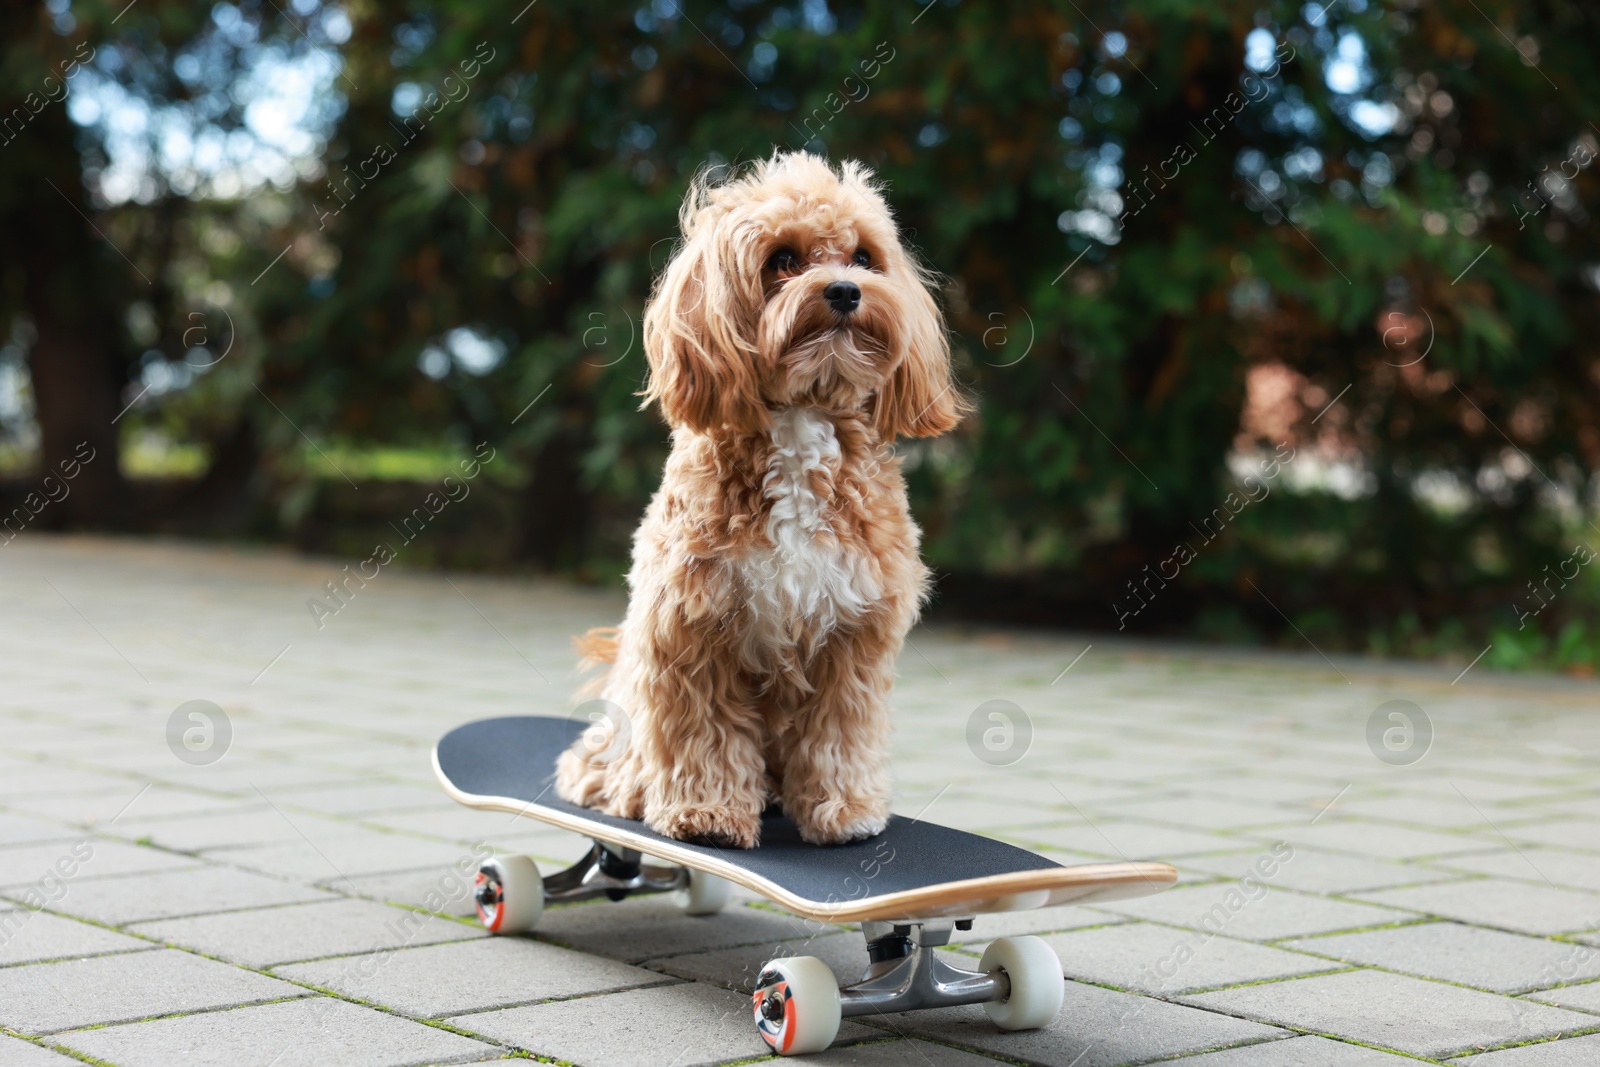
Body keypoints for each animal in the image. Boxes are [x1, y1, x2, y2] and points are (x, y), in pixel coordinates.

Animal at [556, 151, 966, 851]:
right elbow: (706, 731)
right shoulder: (693, 627)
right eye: (784, 259)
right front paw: (706, 813)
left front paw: (844, 809)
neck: (800, 419)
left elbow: (840, 730)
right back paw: (624, 787)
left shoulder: (854, 635)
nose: (845, 291)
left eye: (864, 256)